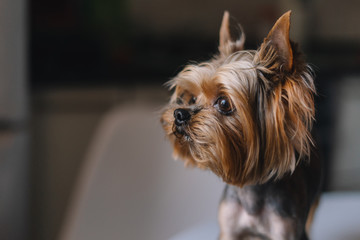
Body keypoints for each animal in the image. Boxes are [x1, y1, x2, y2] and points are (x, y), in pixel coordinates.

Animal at [161, 10, 324, 239]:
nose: (179, 114)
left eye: (224, 103)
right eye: (192, 98)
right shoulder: (229, 228)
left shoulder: (286, 230)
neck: (250, 189)